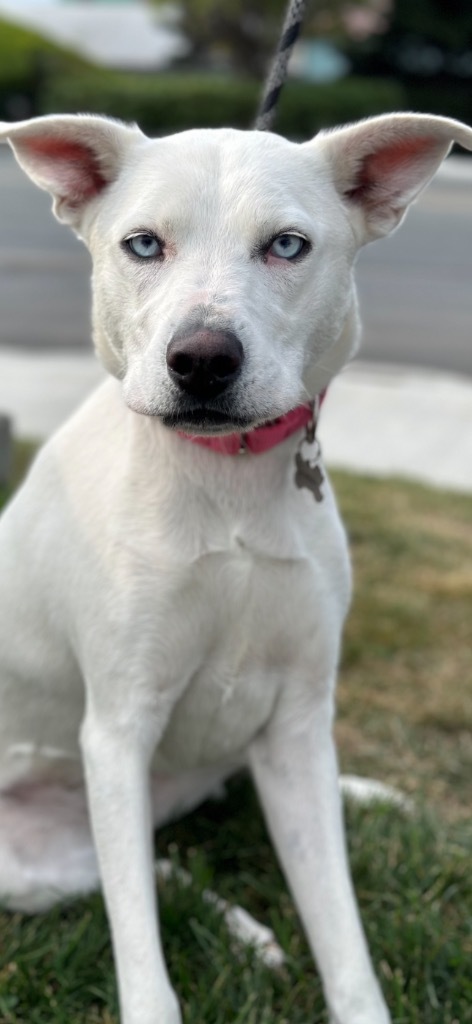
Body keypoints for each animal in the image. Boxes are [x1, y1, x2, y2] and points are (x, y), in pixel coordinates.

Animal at [0, 108, 470, 1019]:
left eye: (287, 245)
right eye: (144, 245)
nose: (203, 360)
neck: (229, 485)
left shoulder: (297, 722)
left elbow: (342, 933)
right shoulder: (118, 727)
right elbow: (140, 954)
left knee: (162, 859)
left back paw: (260, 924)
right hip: (37, 856)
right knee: (139, 874)